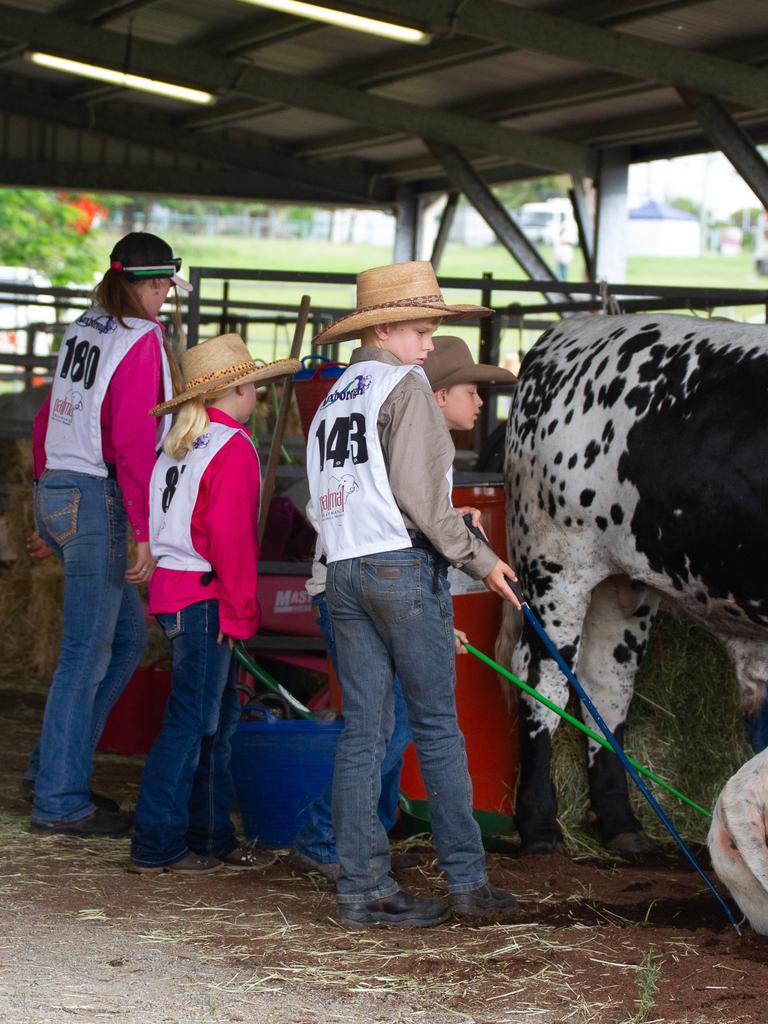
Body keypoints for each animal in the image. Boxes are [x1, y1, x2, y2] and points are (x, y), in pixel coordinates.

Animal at [505, 313, 768, 856]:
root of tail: (574, 327)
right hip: (557, 569)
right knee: (544, 682)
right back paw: (539, 826)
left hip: (621, 586)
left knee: (606, 688)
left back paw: (622, 824)